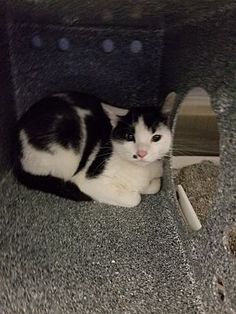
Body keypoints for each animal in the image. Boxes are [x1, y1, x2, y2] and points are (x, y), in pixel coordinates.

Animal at [12, 92, 175, 207]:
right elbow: (135, 198)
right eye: (129, 136)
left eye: (156, 137)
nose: (141, 153)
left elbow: (155, 186)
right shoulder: (87, 181)